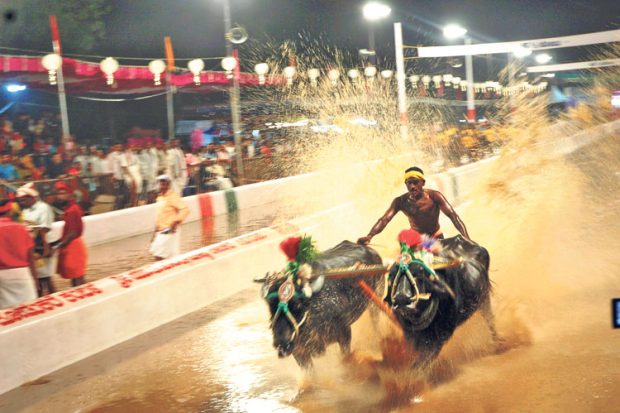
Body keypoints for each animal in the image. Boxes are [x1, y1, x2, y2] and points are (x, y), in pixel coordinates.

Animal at [258, 240, 382, 368]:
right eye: (270, 308)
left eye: (297, 305)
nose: (282, 343)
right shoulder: (300, 354)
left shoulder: (345, 334)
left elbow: (345, 358)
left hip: (375, 298)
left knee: (375, 320)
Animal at [390, 235, 502, 366]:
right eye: (392, 275)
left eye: (420, 273)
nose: (401, 299)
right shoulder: (412, 335)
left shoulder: (441, 335)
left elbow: (423, 361)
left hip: (484, 299)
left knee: (490, 319)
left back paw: (498, 344)